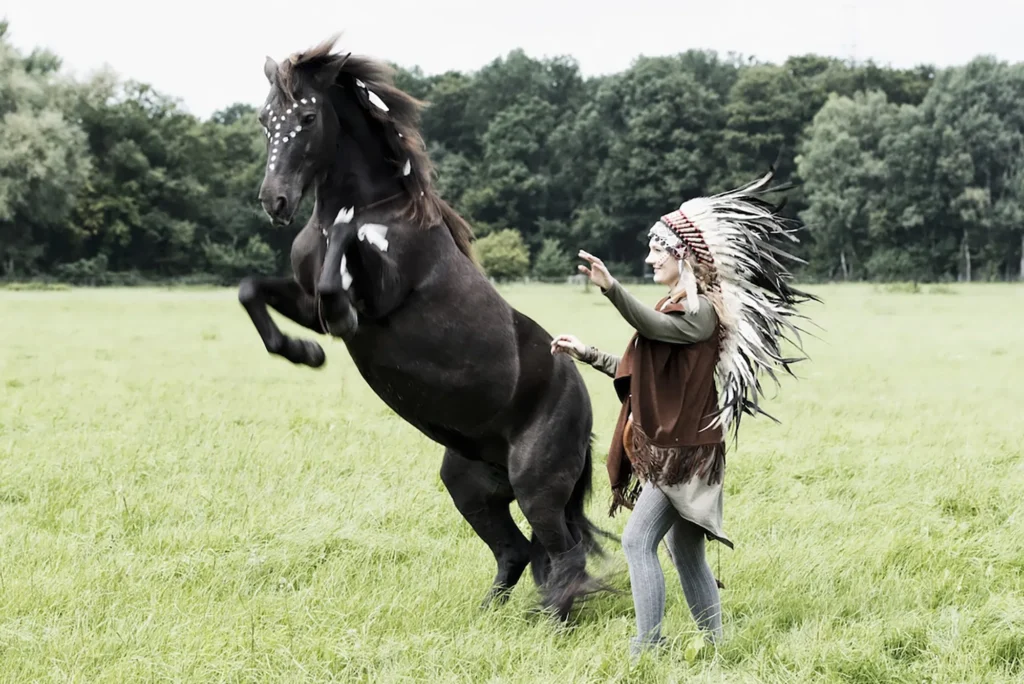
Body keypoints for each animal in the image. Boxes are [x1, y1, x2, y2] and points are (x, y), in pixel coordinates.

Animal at [236, 35, 610, 620]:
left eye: (309, 116)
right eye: (264, 118)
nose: (274, 201)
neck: (374, 208)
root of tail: (584, 407)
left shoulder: (367, 302)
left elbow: (337, 275)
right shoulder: (310, 303)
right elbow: (253, 291)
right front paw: (302, 352)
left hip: (537, 485)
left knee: (563, 556)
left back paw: (551, 622)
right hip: (469, 484)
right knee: (518, 552)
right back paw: (489, 616)